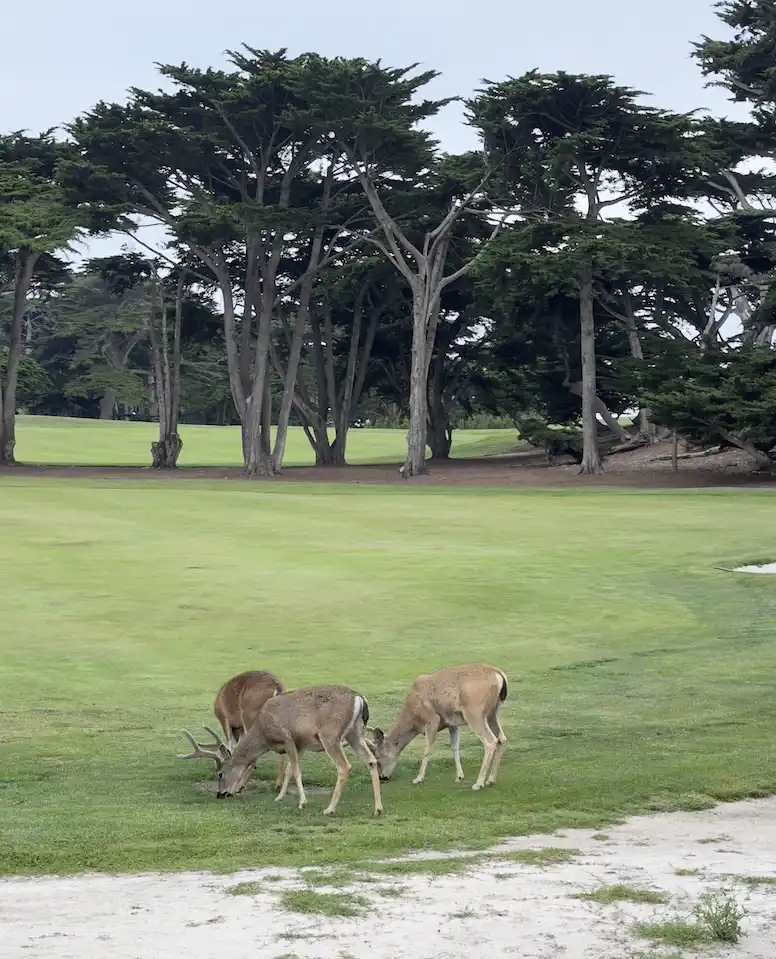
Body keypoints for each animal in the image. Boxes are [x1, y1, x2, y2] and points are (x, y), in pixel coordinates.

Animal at [180, 685, 383, 817]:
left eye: (220, 774)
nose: (220, 794)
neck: (263, 734)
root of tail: (359, 699)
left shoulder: (287, 736)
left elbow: (296, 770)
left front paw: (302, 802)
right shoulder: (300, 744)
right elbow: (289, 770)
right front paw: (279, 797)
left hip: (330, 734)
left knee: (344, 766)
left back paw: (330, 808)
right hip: (355, 733)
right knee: (371, 760)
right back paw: (378, 808)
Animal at [369, 664, 507, 790]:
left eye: (378, 757)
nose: (382, 777)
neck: (414, 717)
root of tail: (499, 675)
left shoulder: (432, 719)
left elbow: (427, 748)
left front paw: (418, 778)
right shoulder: (452, 723)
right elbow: (454, 747)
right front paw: (459, 776)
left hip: (474, 711)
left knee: (491, 741)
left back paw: (479, 783)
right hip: (493, 712)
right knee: (501, 738)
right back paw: (490, 780)